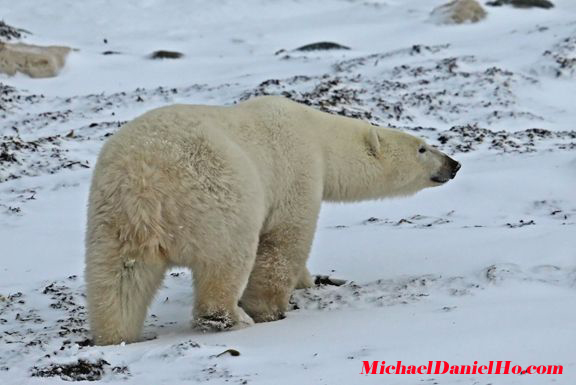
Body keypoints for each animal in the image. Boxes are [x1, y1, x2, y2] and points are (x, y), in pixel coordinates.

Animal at [85, 94, 462, 344]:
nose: (454, 164)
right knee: (227, 260)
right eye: (422, 148)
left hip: (112, 218)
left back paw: (117, 336)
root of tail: (144, 180)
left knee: (119, 280)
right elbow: (284, 243)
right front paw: (272, 308)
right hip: (220, 198)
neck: (317, 134)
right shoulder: (296, 172)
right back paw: (231, 317)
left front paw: (308, 281)